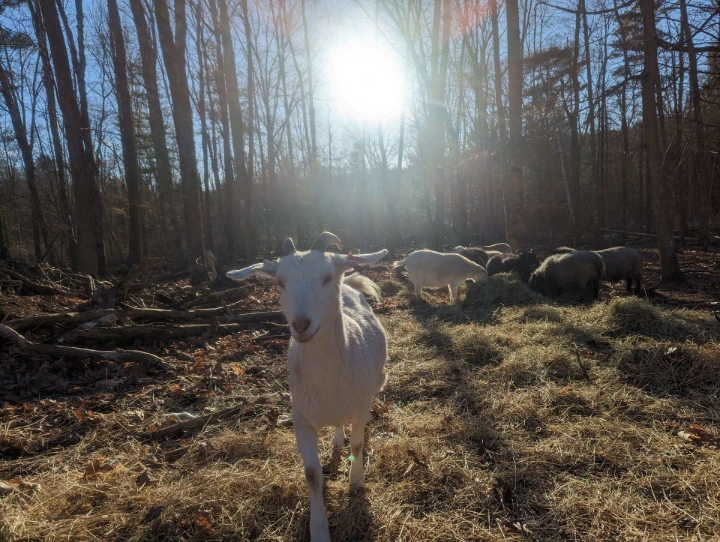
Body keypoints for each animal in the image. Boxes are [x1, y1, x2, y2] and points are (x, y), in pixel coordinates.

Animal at [227, 232, 388, 542]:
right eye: (279, 282)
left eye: (326, 277)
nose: (301, 325)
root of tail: (348, 285)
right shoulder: (301, 419)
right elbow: (312, 473)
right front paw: (319, 530)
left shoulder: (360, 404)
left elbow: (358, 443)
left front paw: (356, 482)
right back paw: (337, 439)